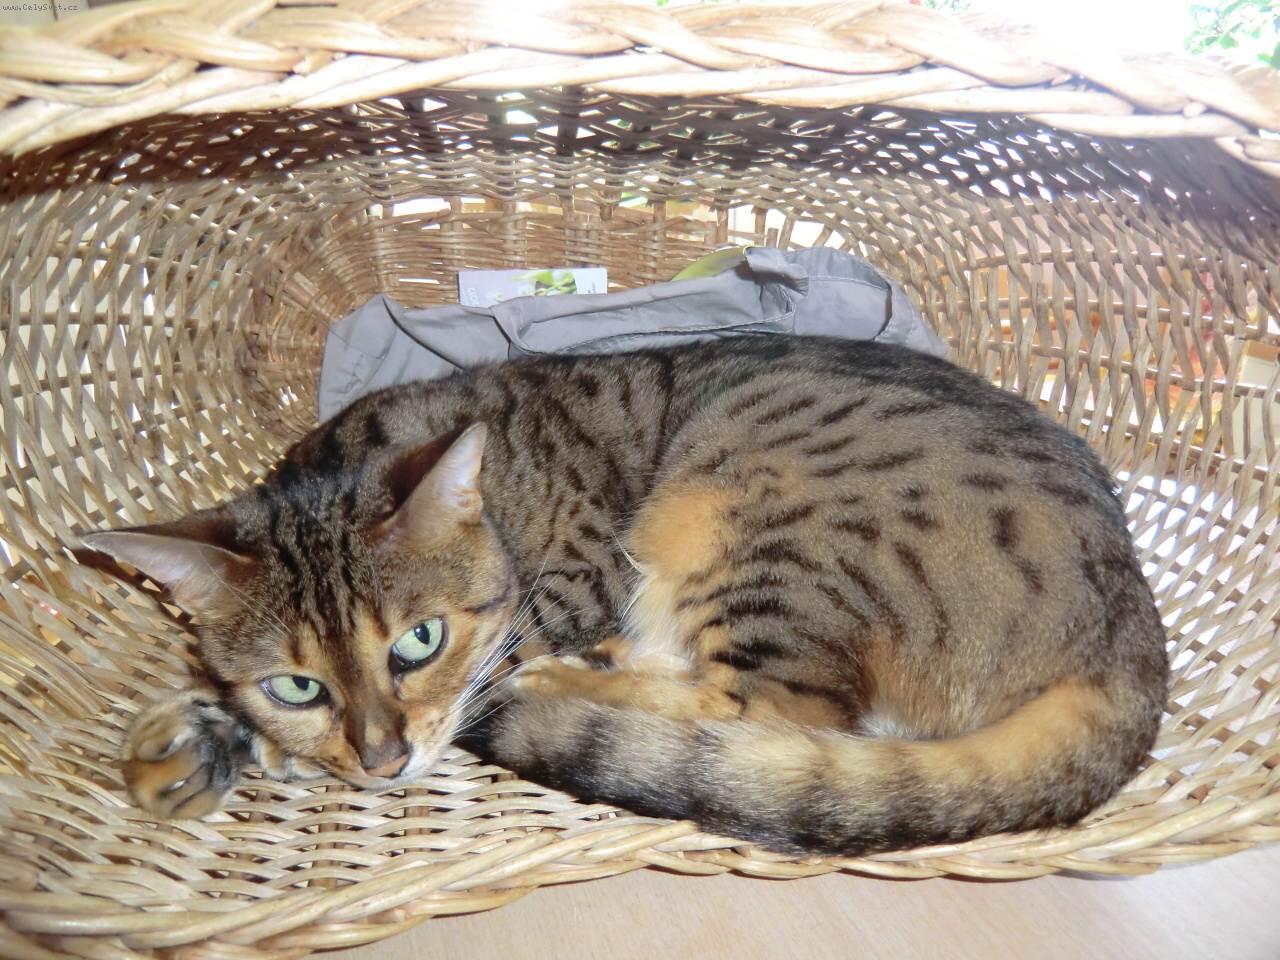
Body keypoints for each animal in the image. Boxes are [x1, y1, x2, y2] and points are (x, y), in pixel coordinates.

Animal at [83, 335, 1168, 854]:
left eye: (417, 641)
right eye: (297, 684)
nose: (385, 762)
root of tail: (1125, 628)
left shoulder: (574, 584)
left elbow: (493, 669)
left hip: (746, 514)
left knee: (768, 713)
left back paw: (573, 686)